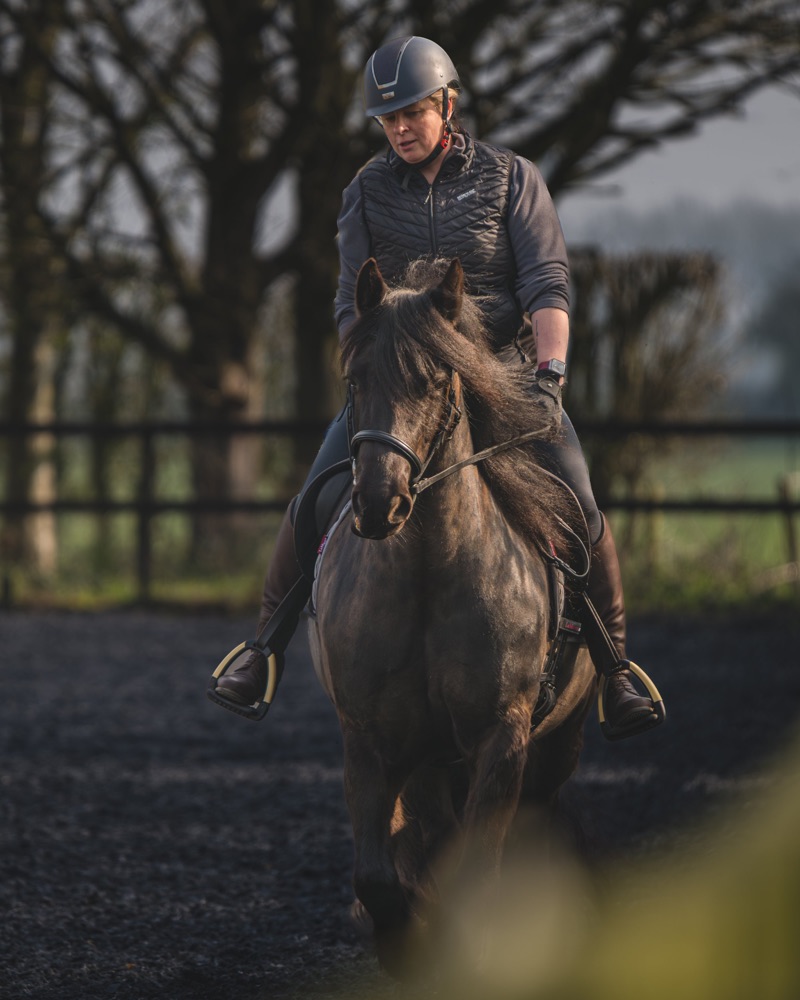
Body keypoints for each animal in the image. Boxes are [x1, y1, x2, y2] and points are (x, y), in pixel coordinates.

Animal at [307, 256, 596, 975]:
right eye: (355, 378)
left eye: (435, 379)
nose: (379, 501)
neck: (428, 577)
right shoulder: (370, 740)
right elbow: (380, 877)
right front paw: (404, 940)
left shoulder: (502, 737)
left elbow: (480, 872)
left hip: (556, 746)